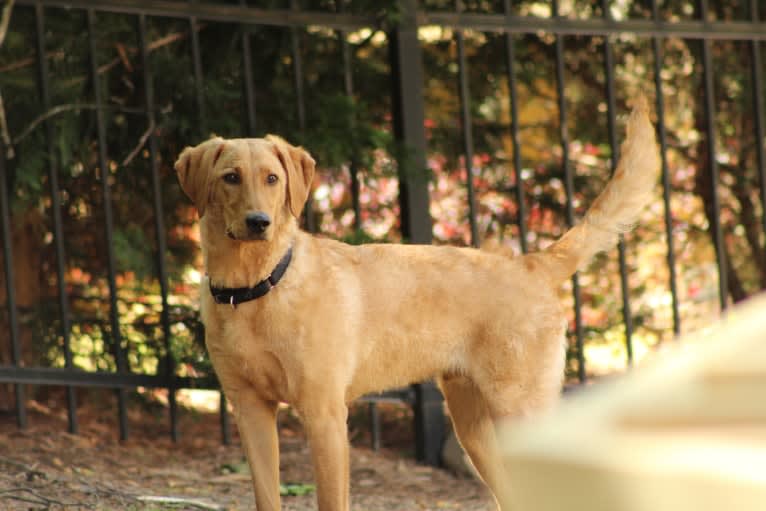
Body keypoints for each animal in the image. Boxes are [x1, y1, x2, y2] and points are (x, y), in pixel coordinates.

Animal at [174, 95, 660, 508]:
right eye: (230, 177)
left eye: (272, 179)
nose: (259, 222)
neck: (257, 287)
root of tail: (529, 265)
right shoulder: (251, 411)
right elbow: (266, 496)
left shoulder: (325, 414)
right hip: (474, 426)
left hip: (521, 409)